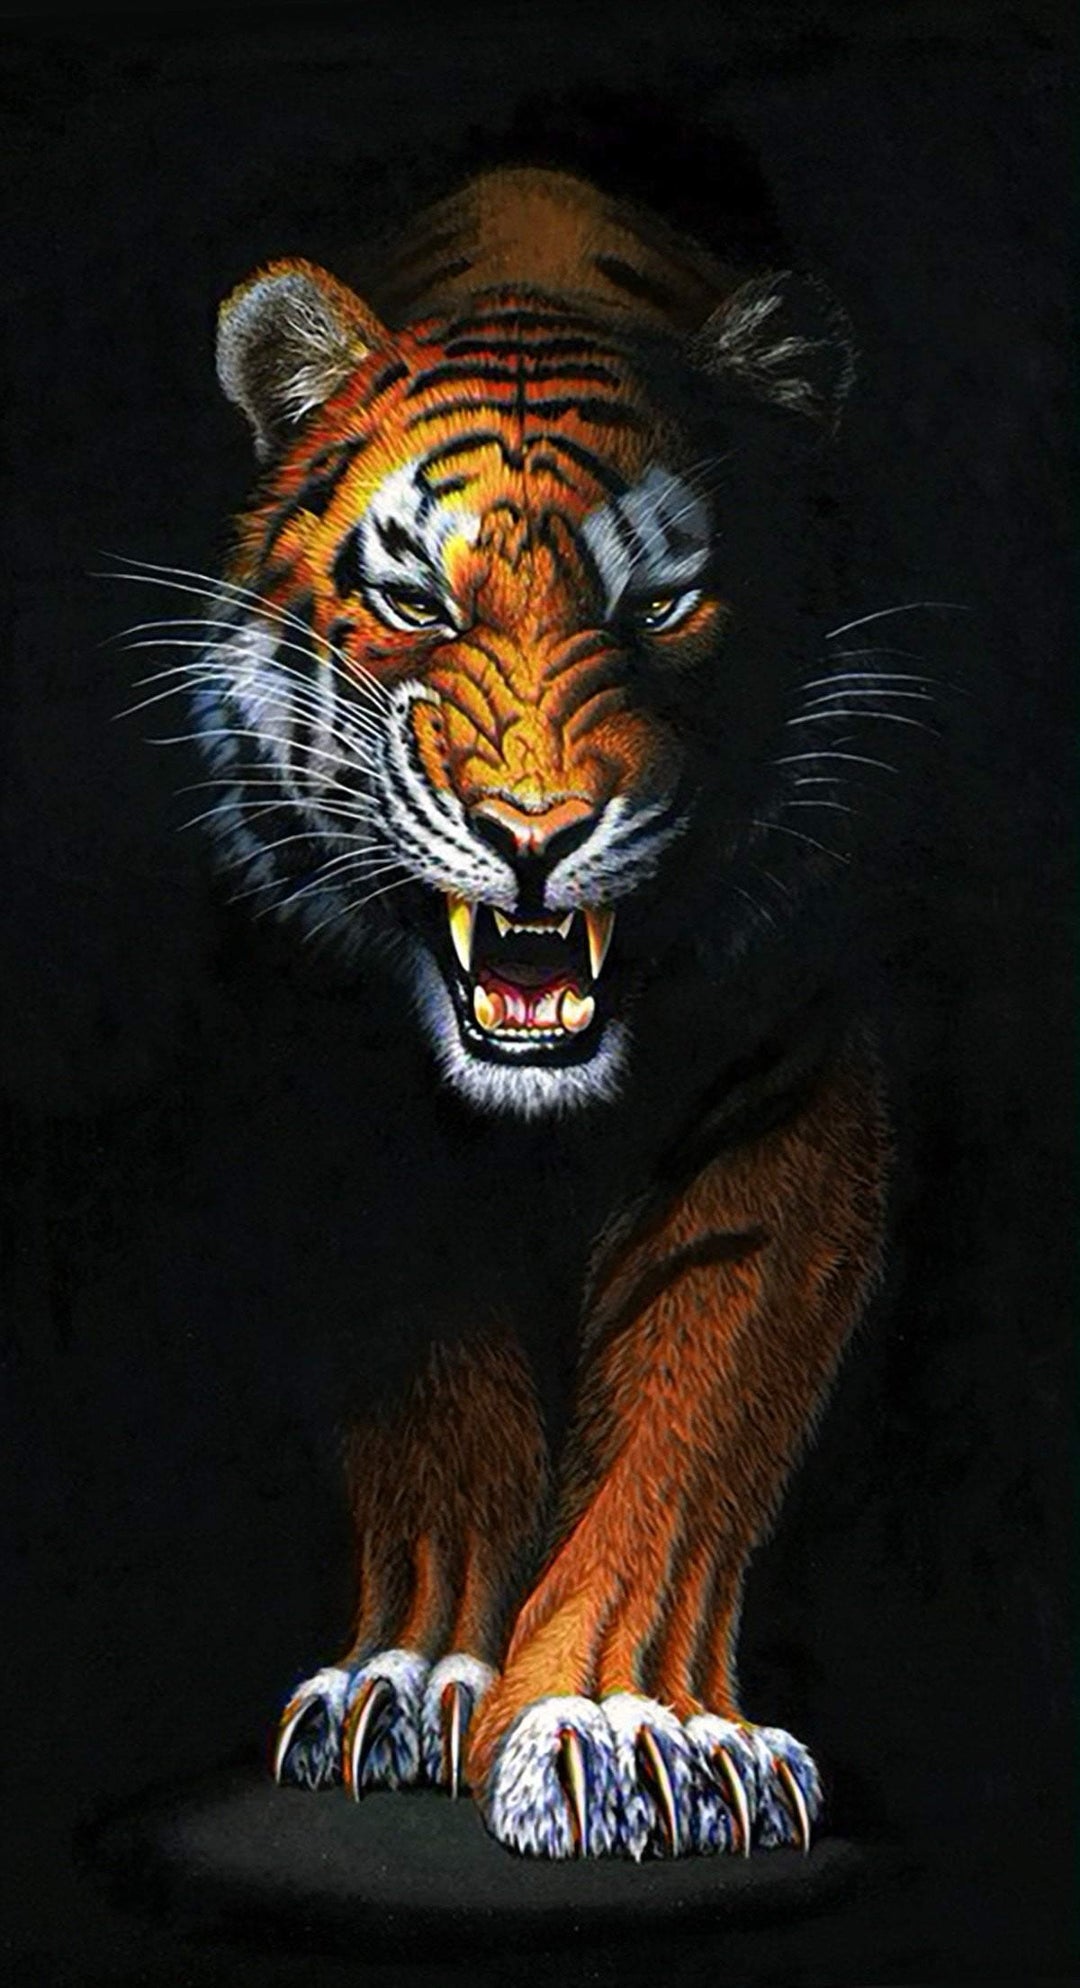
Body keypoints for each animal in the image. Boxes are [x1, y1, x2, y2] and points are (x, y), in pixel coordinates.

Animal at [174, 166, 890, 1859]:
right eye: (418, 598)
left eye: (666, 603)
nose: (535, 831)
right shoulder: (344, 1101)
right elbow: (438, 1412)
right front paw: (414, 1678)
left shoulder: (788, 1088)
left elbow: (692, 1423)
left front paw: (631, 1726)